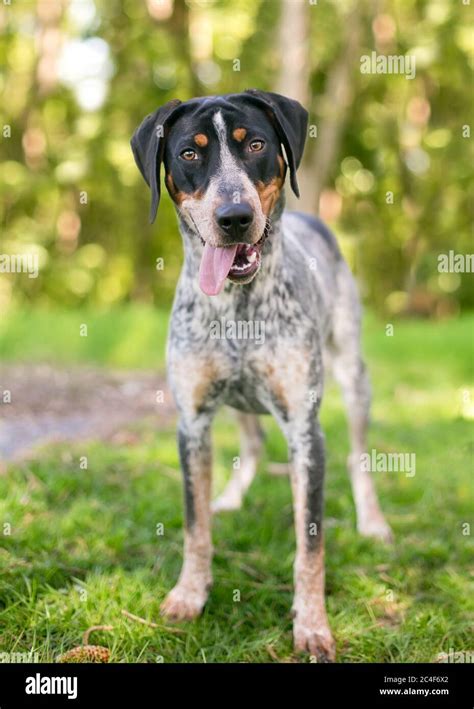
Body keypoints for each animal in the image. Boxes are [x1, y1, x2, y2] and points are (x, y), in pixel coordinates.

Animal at [131, 90, 392, 664]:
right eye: (188, 153)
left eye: (254, 145)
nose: (234, 217)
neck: (239, 306)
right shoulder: (192, 422)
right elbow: (195, 525)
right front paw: (189, 594)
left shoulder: (305, 431)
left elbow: (310, 545)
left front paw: (312, 625)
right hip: (233, 403)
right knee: (249, 445)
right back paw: (229, 497)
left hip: (355, 376)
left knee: (359, 457)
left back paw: (374, 522)